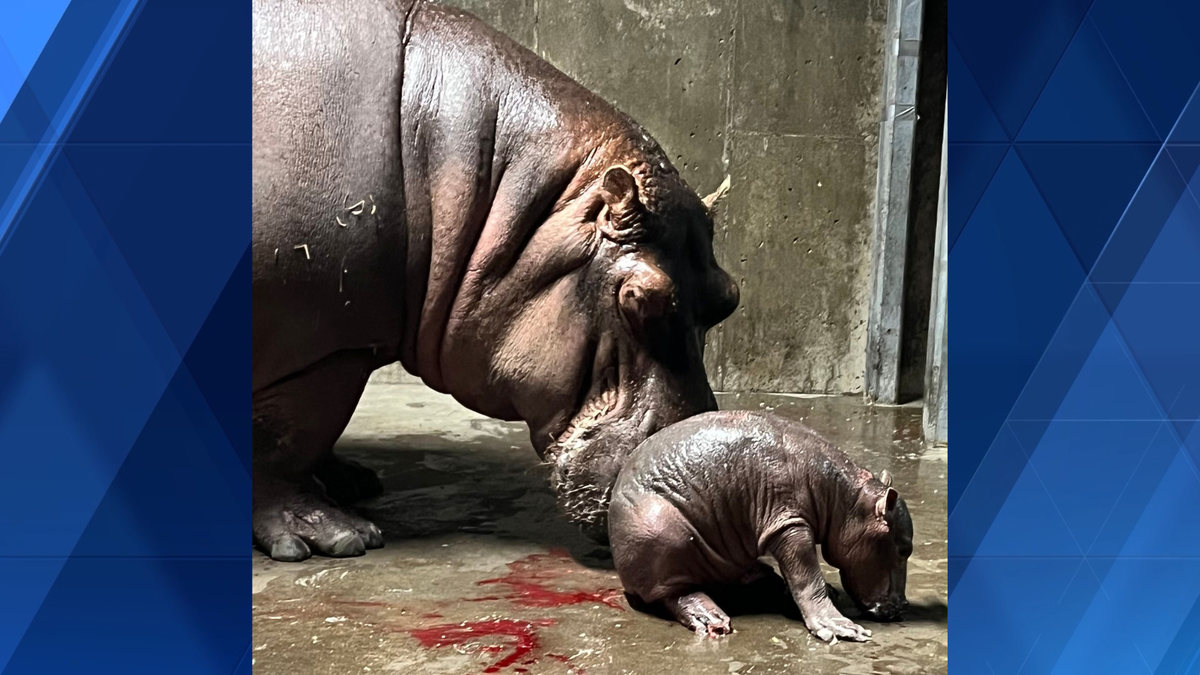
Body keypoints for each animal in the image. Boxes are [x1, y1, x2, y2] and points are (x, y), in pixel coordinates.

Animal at [252, 0, 740, 561]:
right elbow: (285, 439)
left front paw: (349, 480)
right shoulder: (322, 345)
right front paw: (334, 538)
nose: (707, 482)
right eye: (639, 297)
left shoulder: (345, 341)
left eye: (730, 297)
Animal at [609, 411, 912, 641]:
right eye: (903, 549)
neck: (847, 498)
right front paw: (840, 627)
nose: (903, 606)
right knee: (675, 593)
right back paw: (712, 619)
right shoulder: (788, 525)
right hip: (662, 533)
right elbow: (807, 576)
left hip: (729, 559)